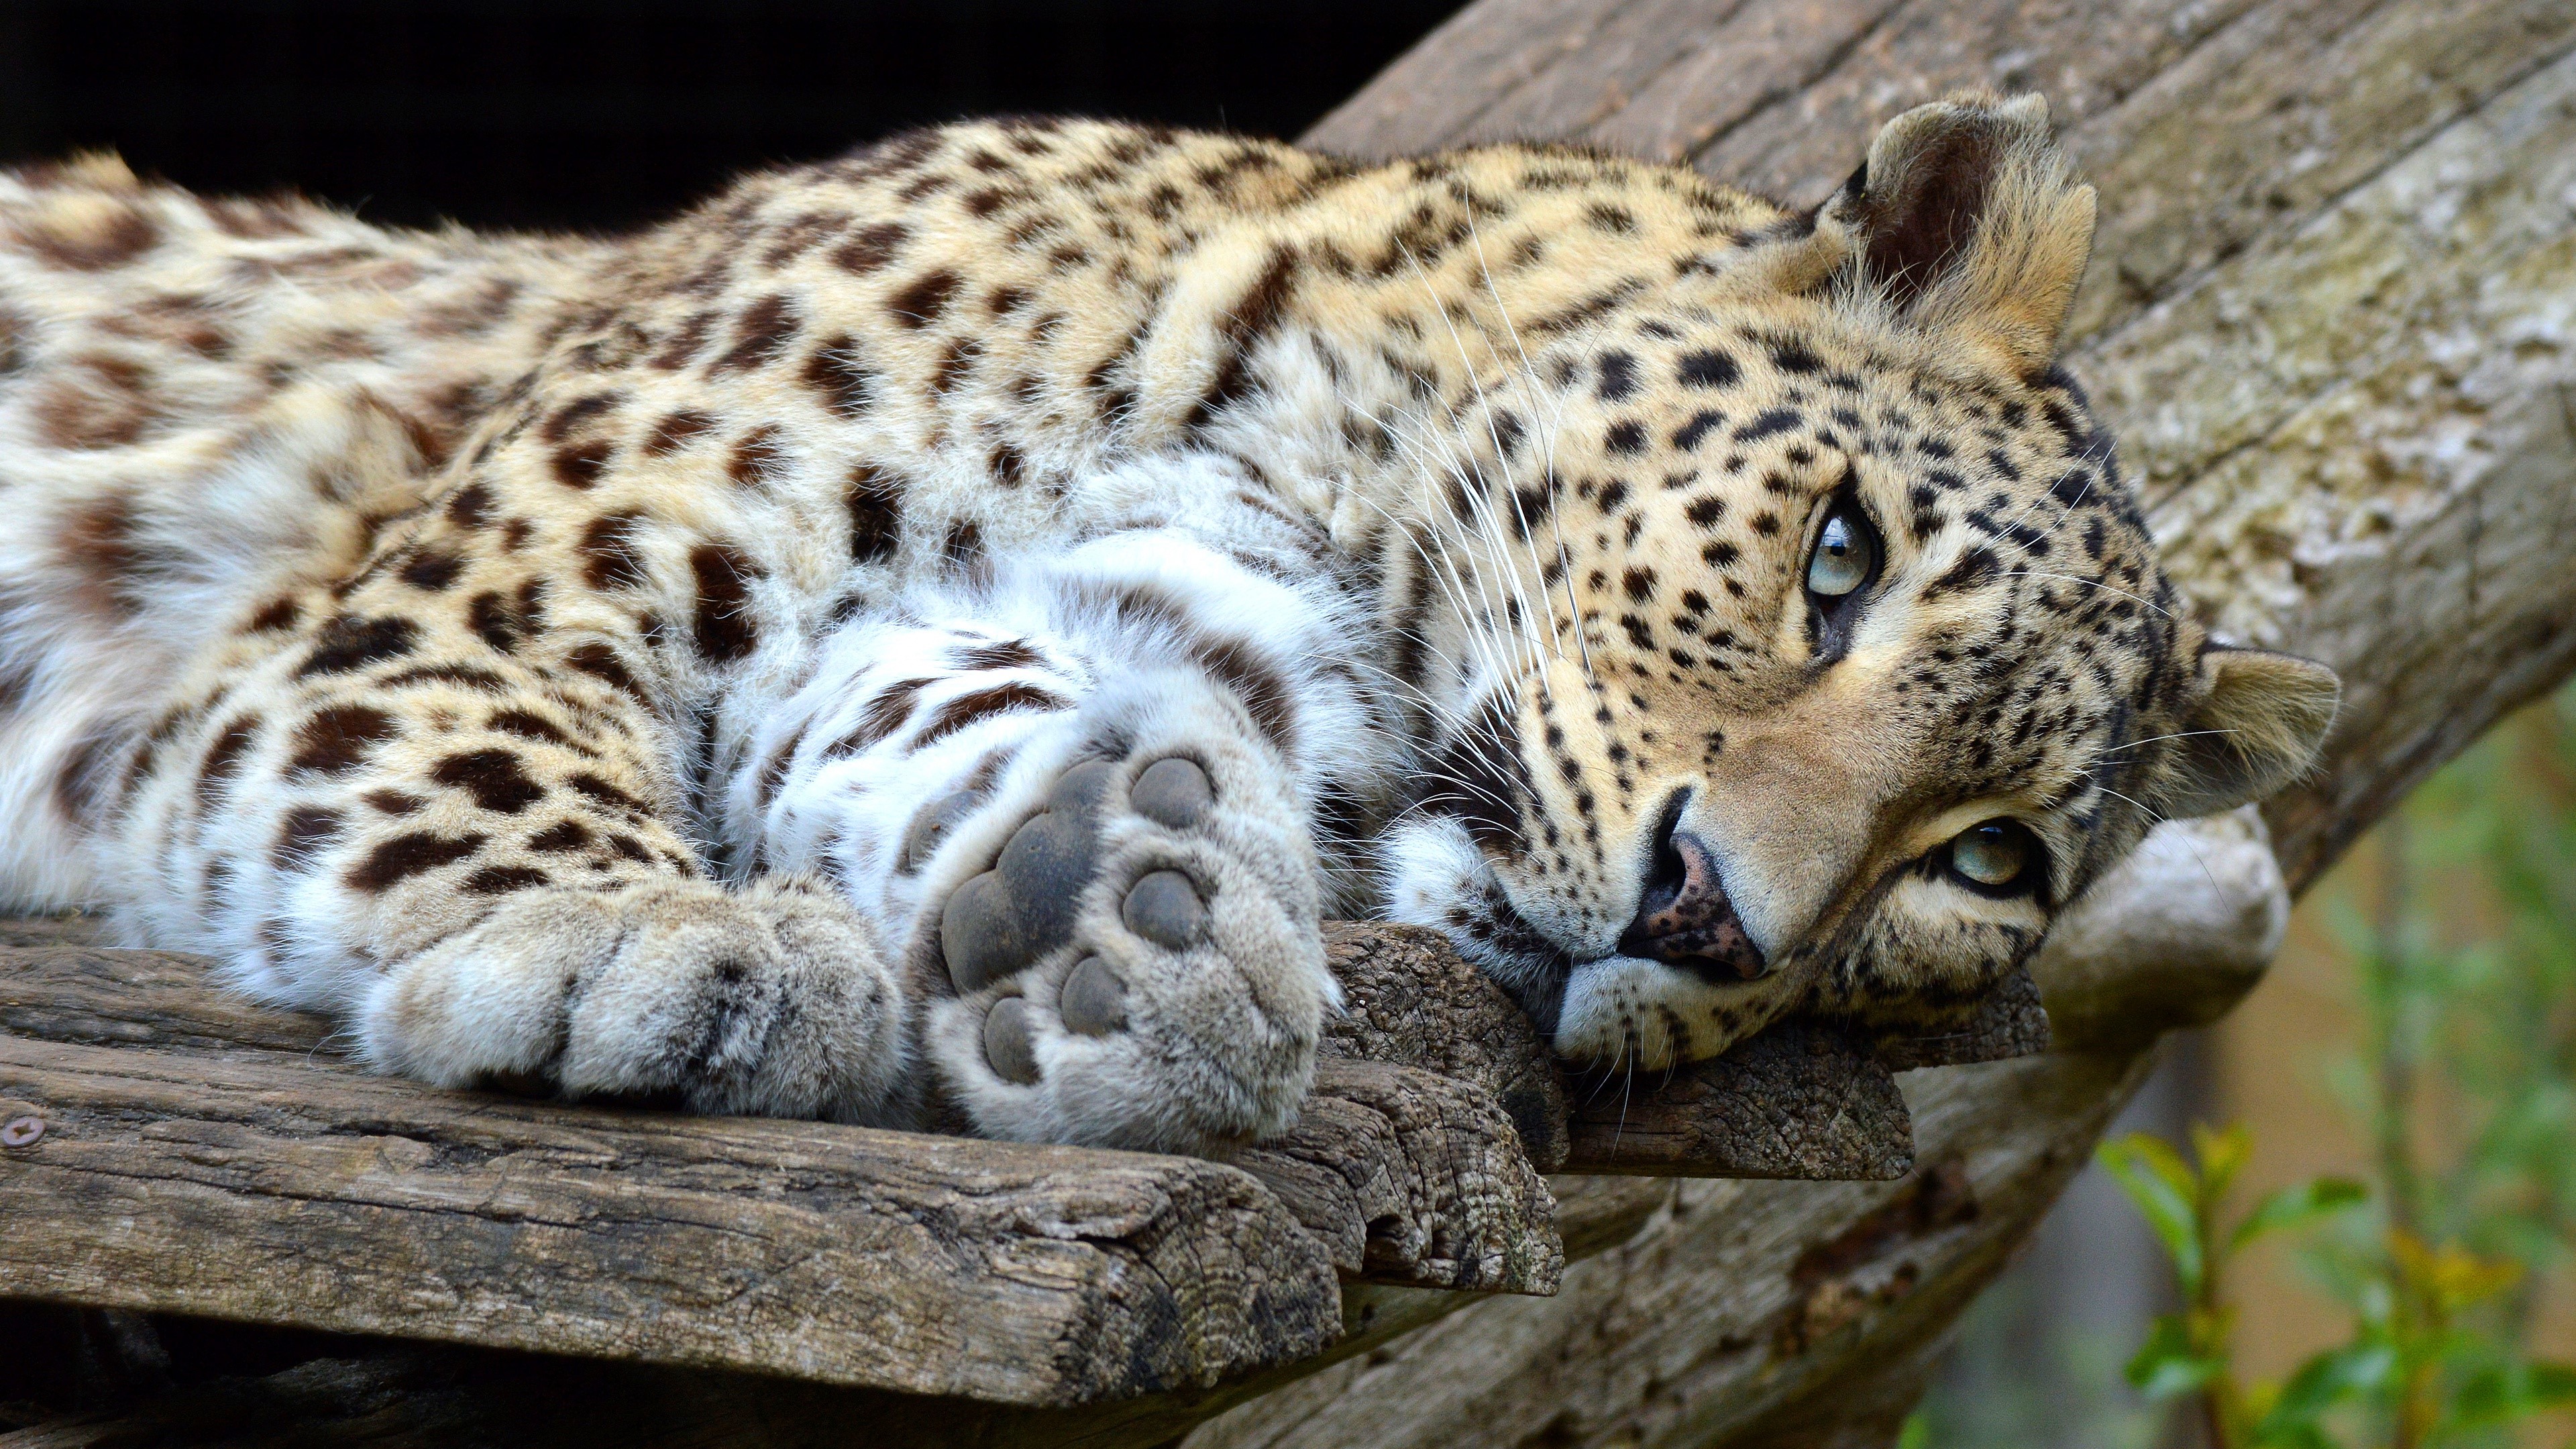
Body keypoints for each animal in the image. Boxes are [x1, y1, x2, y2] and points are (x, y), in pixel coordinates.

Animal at [0, 90, 2338, 1156]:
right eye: (1837, 557)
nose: (1705, 921)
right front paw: (637, 928)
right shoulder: (471, 572)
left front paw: (1101, 928)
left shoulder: (1082, 621)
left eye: (1988, 866)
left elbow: (954, 692)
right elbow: (484, 719)